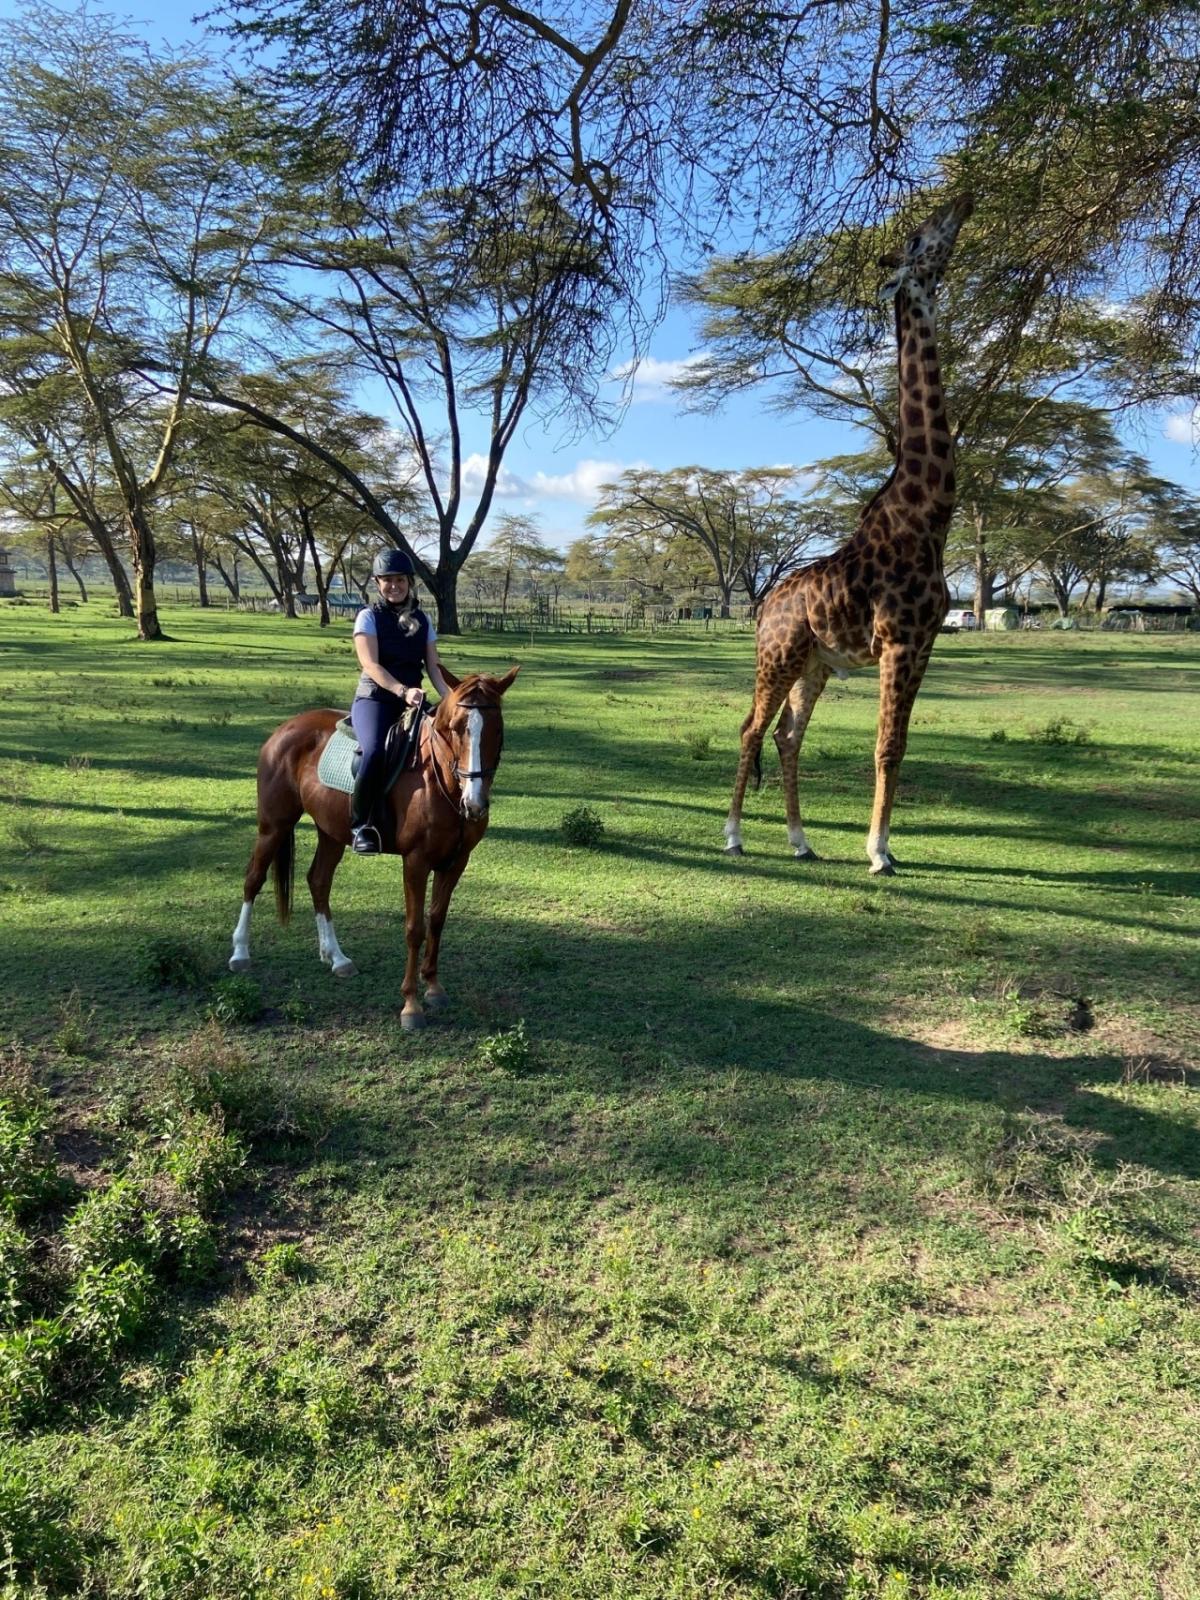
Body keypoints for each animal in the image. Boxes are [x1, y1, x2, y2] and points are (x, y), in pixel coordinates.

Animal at [227, 665, 518, 1030]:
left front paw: (434, 987)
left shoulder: (456, 861)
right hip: (273, 826)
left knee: (318, 881)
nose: (474, 803)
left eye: (498, 728)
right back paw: (240, 953)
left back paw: (337, 958)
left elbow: (437, 920)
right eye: (455, 728)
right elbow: (415, 928)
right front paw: (410, 1005)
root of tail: (284, 729)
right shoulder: (416, 861)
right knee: (253, 879)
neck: (439, 780)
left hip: (331, 832)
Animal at [723, 196, 979, 889]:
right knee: (751, 728)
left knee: (787, 737)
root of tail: (763, 605)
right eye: (919, 239)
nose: (964, 202)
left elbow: (900, 745)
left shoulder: (925, 643)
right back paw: (733, 836)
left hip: (814, 665)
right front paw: (879, 852)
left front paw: (881, 846)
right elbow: (886, 746)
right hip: (778, 655)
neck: (930, 514)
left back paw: (800, 842)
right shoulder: (898, 640)